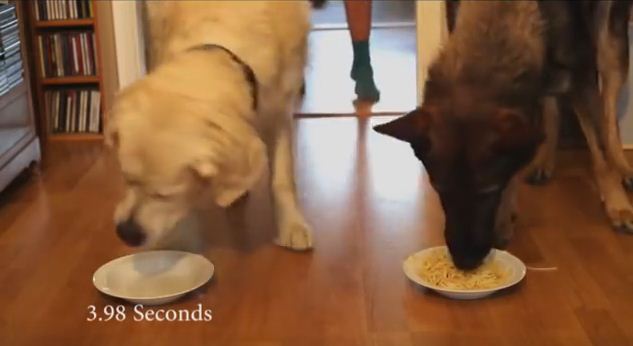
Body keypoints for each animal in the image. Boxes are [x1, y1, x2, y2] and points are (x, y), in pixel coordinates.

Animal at [107, 0, 320, 250]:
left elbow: (282, 179)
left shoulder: (280, 107)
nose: (126, 233)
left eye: (165, 195)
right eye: (126, 179)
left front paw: (292, 225)